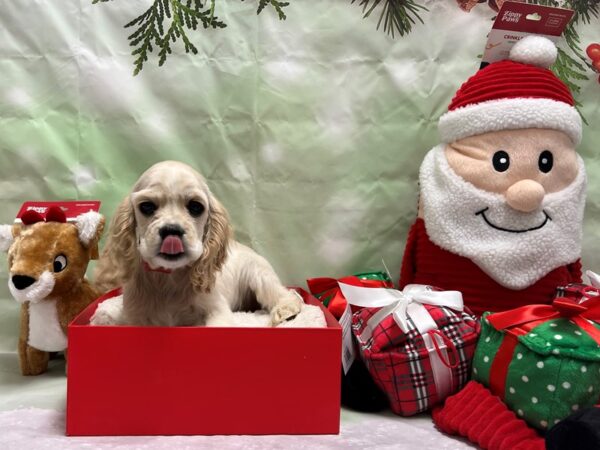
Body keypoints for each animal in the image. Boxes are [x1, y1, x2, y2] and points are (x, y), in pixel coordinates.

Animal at [94, 162, 302, 326]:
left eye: (195, 207)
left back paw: (284, 312)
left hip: (259, 275)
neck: (170, 278)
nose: (172, 230)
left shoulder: (217, 310)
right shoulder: (135, 315)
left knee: (287, 294)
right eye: (146, 206)